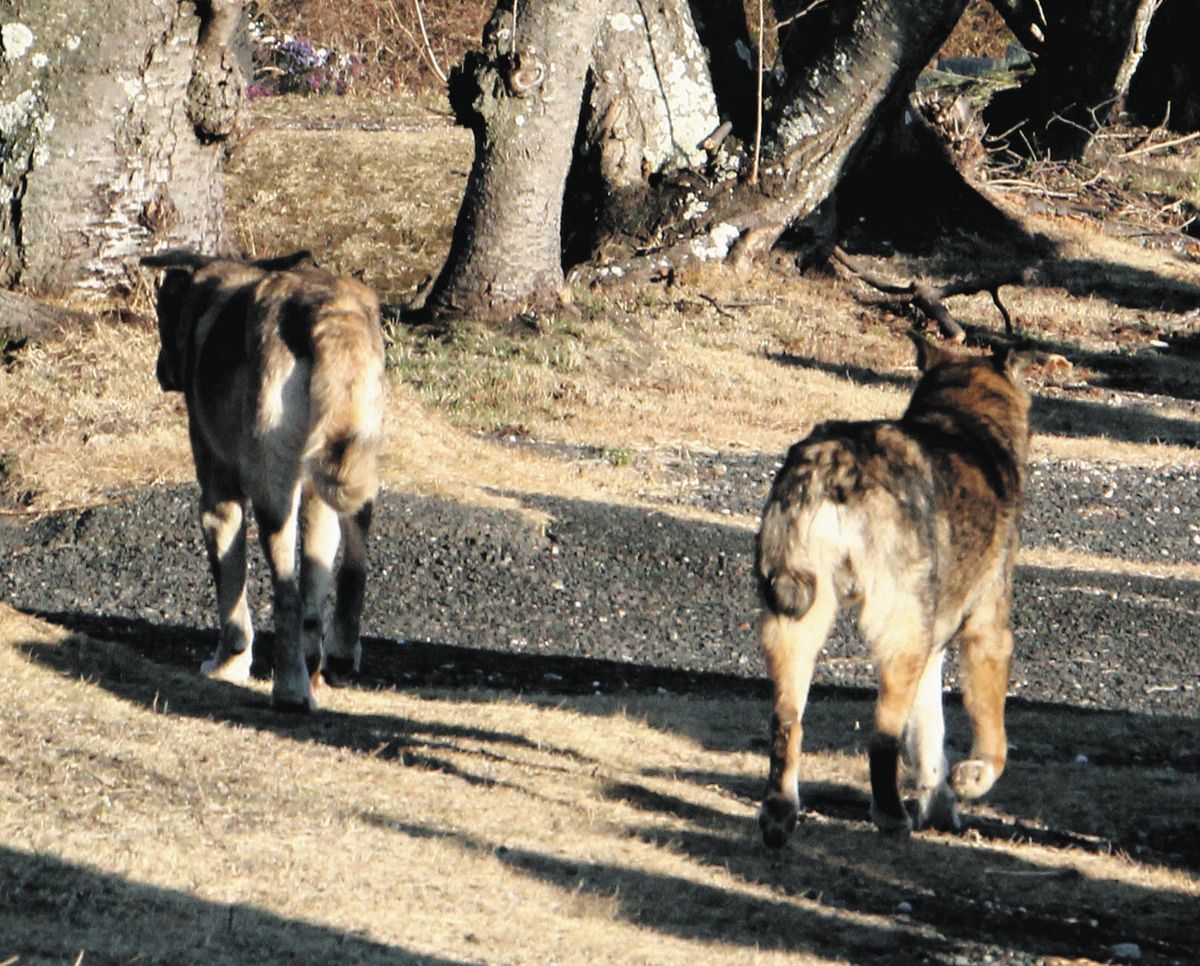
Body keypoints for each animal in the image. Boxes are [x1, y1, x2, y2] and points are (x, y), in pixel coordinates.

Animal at [141, 252, 386, 710]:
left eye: (163, 315)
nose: (160, 372)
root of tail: (325, 310)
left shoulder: (218, 500)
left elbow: (230, 595)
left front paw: (228, 665)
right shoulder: (313, 497)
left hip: (272, 498)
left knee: (287, 596)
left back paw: (290, 690)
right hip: (351, 474)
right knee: (347, 573)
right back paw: (333, 661)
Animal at [758, 333, 1032, 844]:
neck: (964, 421)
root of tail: (834, 464)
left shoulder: (932, 646)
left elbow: (929, 742)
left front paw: (940, 806)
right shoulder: (987, 632)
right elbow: (991, 739)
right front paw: (971, 779)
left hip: (797, 622)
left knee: (788, 723)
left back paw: (779, 814)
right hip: (898, 634)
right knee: (880, 736)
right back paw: (889, 815)